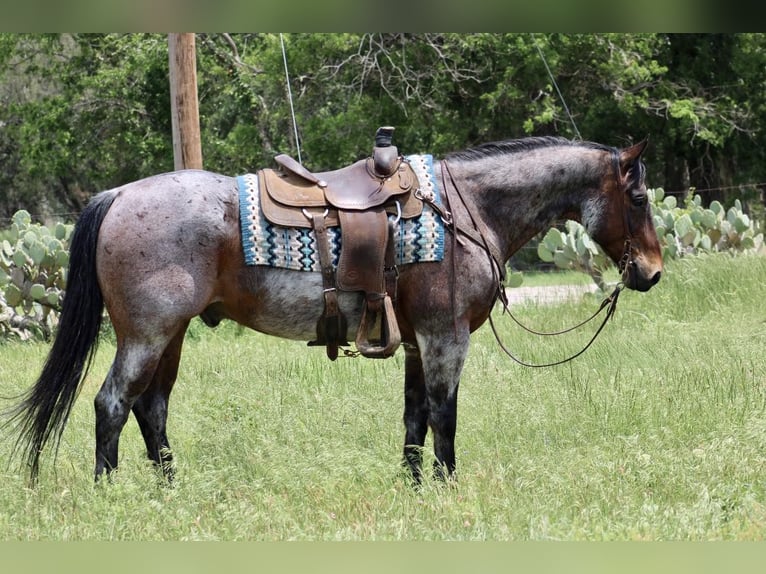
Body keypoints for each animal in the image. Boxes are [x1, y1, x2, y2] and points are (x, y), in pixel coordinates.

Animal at [4, 136, 664, 486]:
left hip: (172, 337)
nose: (653, 272)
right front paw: (448, 488)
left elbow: (415, 419)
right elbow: (444, 418)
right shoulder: (446, 338)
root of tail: (118, 195)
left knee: (151, 408)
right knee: (113, 404)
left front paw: (413, 488)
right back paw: (110, 491)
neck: (466, 209)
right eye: (637, 198)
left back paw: (169, 491)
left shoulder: (419, 343)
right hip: (146, 334)